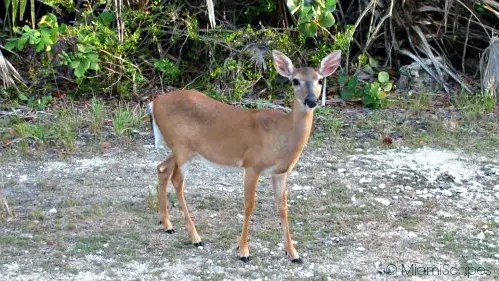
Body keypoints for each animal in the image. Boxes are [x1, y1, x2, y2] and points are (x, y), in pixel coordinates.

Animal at [148, 49, 342, 262]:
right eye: (295, 81)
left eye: (320, 80)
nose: (311, 101)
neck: (282, 134)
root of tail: (154, 103)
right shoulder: (252, 165)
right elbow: (249, 205)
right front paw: (243, 252)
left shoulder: (280, 172)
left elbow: (283, 208)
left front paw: (293, 253)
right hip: (182, 148)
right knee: (177, 181)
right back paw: (195, 237)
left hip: (182, 150)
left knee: (162, 167)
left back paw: (167, 225)